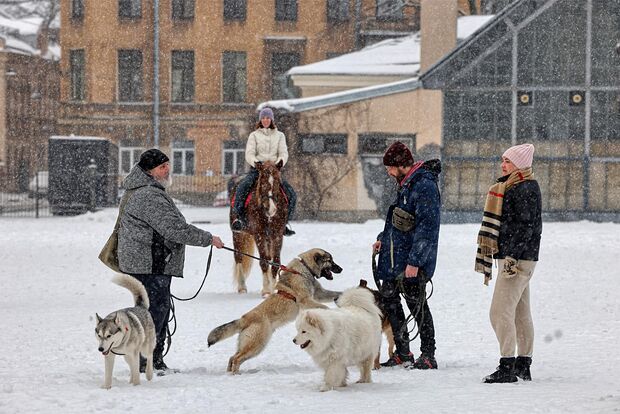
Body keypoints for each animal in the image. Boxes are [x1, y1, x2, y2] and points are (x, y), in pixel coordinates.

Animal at [208, 249, 344, 376]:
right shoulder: (306, 301)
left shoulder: (319, 294)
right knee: (236, 359)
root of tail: (244, 318)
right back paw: (236, 375)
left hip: (249, 344)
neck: (305, 268)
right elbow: (324, 307)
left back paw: (229, 373)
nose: (341, 269)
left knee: (232, 357)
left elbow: (336, 294)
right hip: (257, 344)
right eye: (329, 261)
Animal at [230, 160, 288, 296]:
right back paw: (242, 287)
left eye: (277, 181)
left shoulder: (277, 234)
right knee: (238, 256)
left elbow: (275, 262)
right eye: (262, 181)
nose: (271, 209)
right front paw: (267, 290)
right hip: (237, 234)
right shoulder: (259, 234)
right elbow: (263, 261)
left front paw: (273, 288)